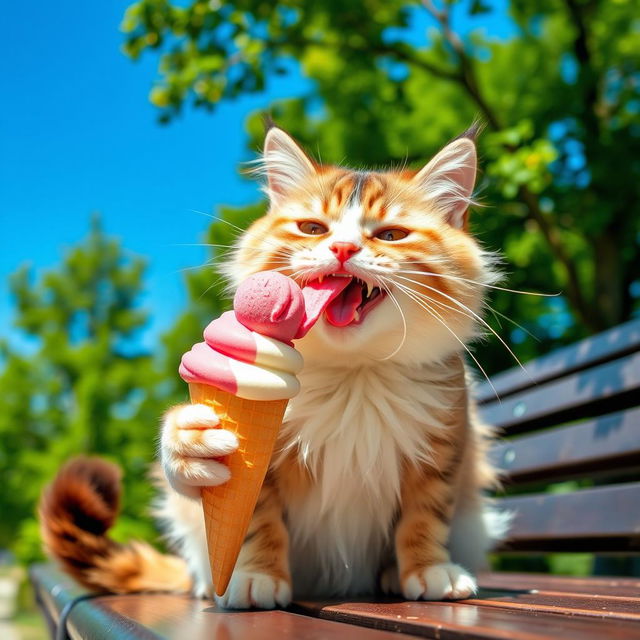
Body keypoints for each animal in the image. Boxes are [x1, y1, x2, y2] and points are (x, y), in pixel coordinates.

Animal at [40, 124, 510, 608]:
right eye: (312, 229)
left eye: (392, 235)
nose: (343, 248)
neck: (353, 371)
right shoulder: (258, 467)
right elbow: (256, 520)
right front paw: (255, 573)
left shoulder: (448, 443)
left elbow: (426, 514)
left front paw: (428, 568)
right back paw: (209, 582)